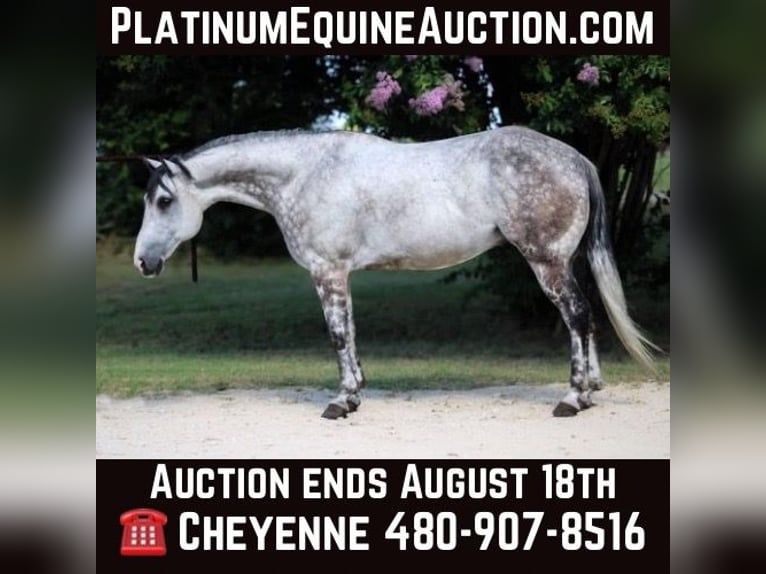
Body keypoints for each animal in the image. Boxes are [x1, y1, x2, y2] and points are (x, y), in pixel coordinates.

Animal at [133, 127, 658, 419]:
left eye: (164, 201)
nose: (143, 262)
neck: (305, 173)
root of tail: (575, 158)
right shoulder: (340, 274)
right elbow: (350, 334)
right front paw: (355, 393)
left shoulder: (327, 271)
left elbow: (338, 334)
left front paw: (341, 402)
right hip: (564, 262)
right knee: (586, 318)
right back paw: (592, 390)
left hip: (546, 261)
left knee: (576, 316)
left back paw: (573, 399)